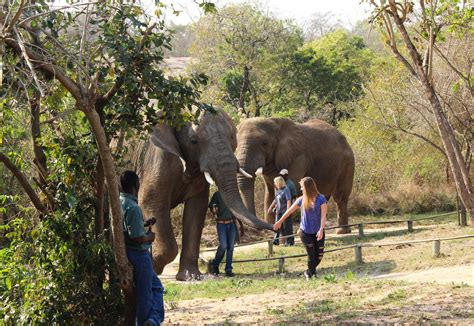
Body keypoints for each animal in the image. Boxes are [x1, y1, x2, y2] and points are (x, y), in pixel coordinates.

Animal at [135, 109, 272, 280]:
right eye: (194, 141)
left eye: (232, 137)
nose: (274, 227)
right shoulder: (155, 158)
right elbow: (151, 200)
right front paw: (154, 268)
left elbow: (197, 207)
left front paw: (191, 277)